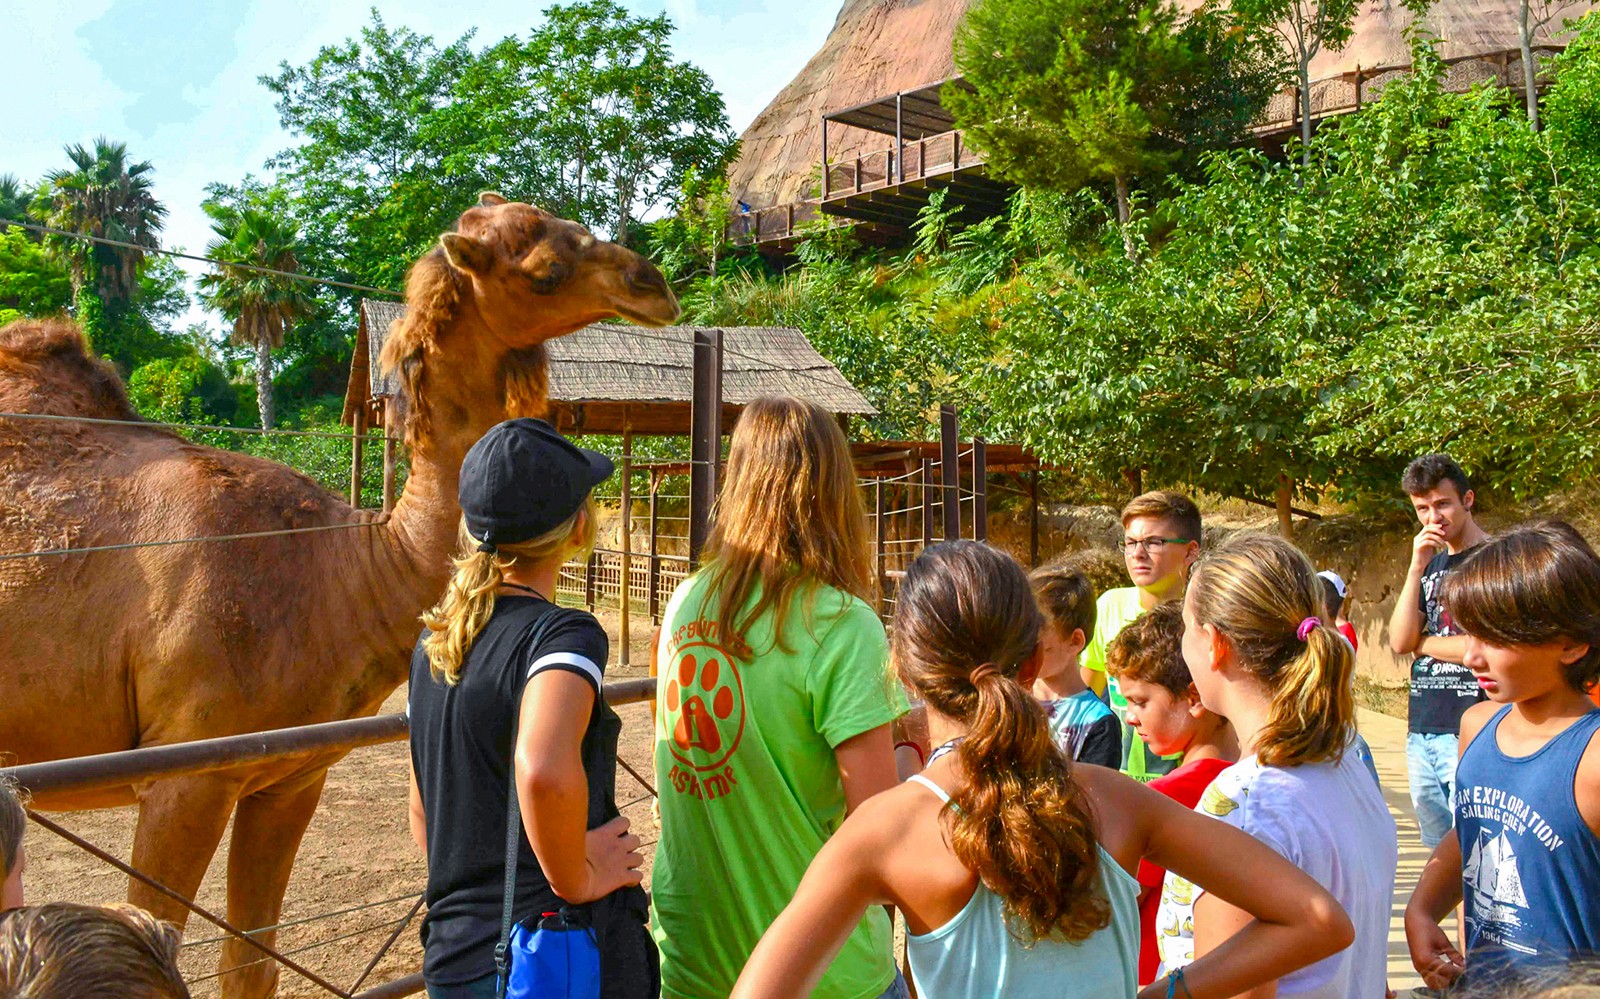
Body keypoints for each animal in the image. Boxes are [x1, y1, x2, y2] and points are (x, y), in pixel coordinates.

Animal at [0, 194, 679, 998]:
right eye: (544, 269)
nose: (653, 283)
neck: (343, 569)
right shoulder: (182, 776)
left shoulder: (289, 778)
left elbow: (251, 964)